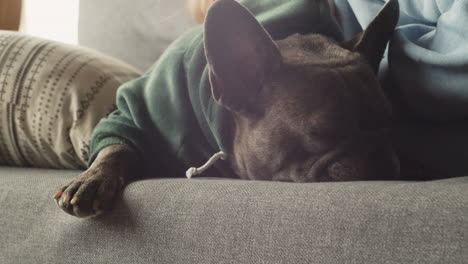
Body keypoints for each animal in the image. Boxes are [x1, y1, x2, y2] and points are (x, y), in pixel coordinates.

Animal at [54, 0, 398, 217]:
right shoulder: (137, 115)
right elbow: (118, 146)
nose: (381, 153)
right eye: (322, 133)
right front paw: (94, 179)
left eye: (389, 126)